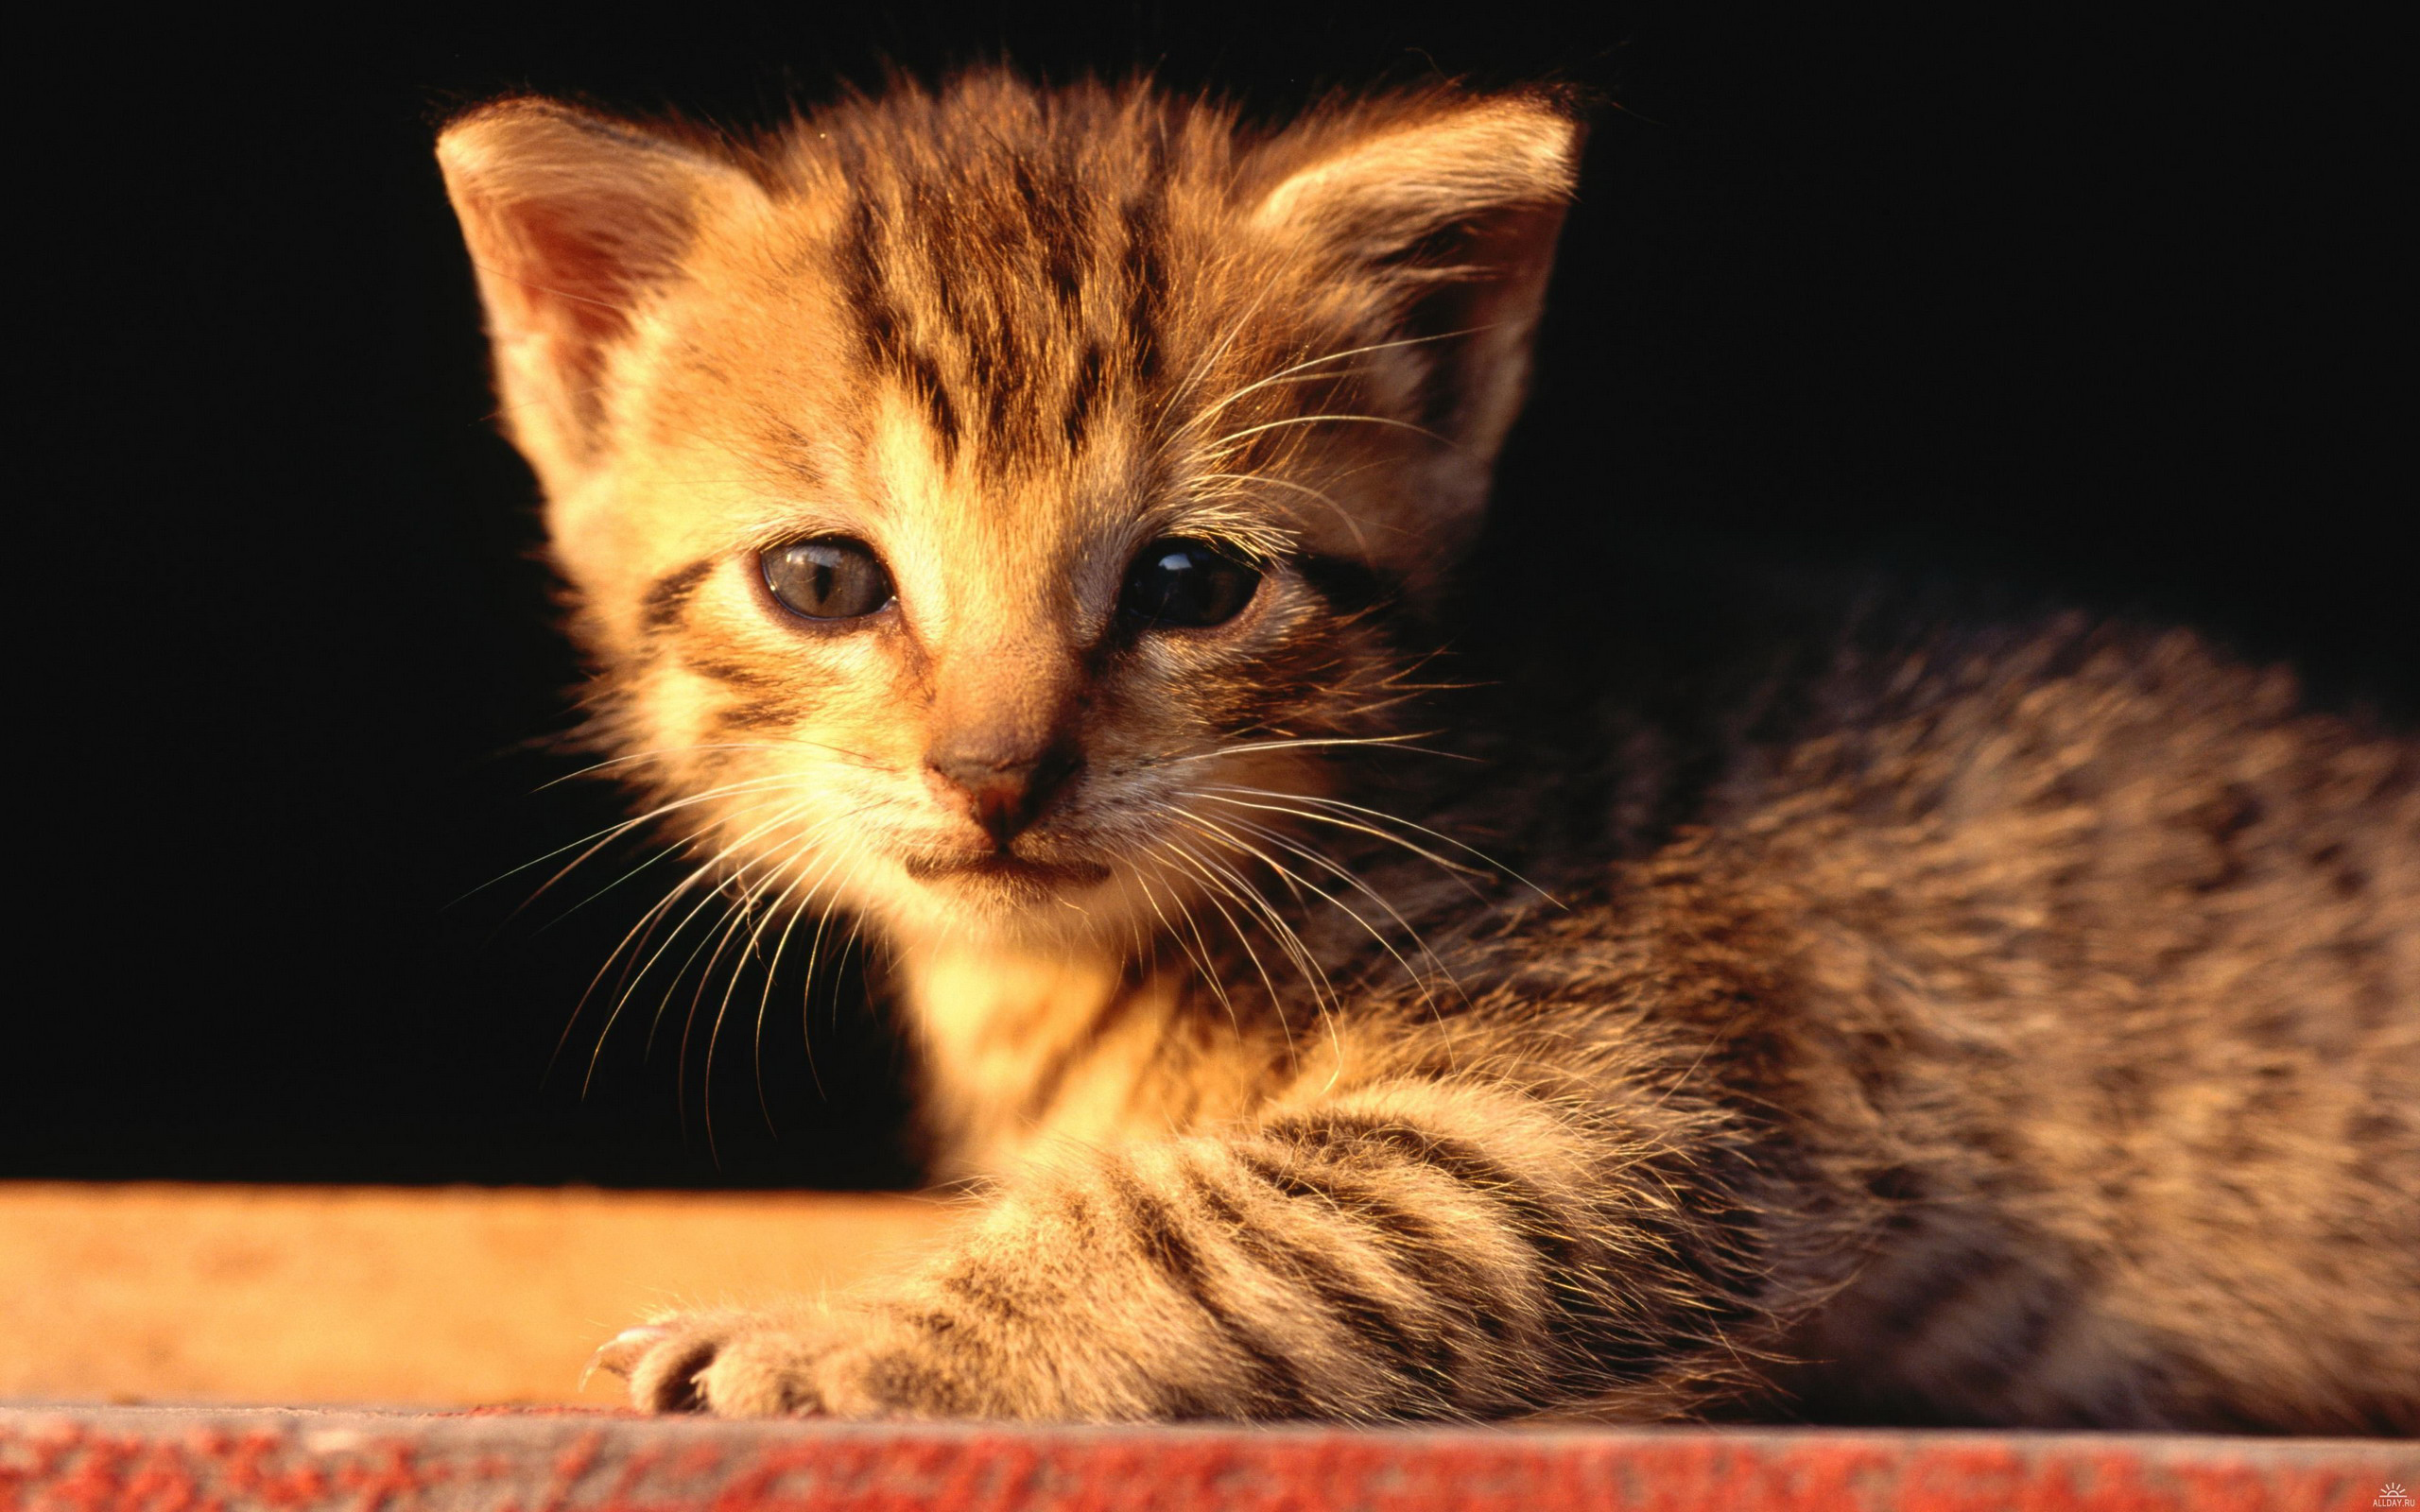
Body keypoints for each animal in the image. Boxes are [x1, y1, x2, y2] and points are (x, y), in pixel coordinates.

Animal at [440, 74, 2420, 1422]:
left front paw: (829, 1334)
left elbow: (1202, 1216)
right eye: (825, 580)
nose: (999, 774)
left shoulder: (1618, 1112)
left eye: (1191, 582)